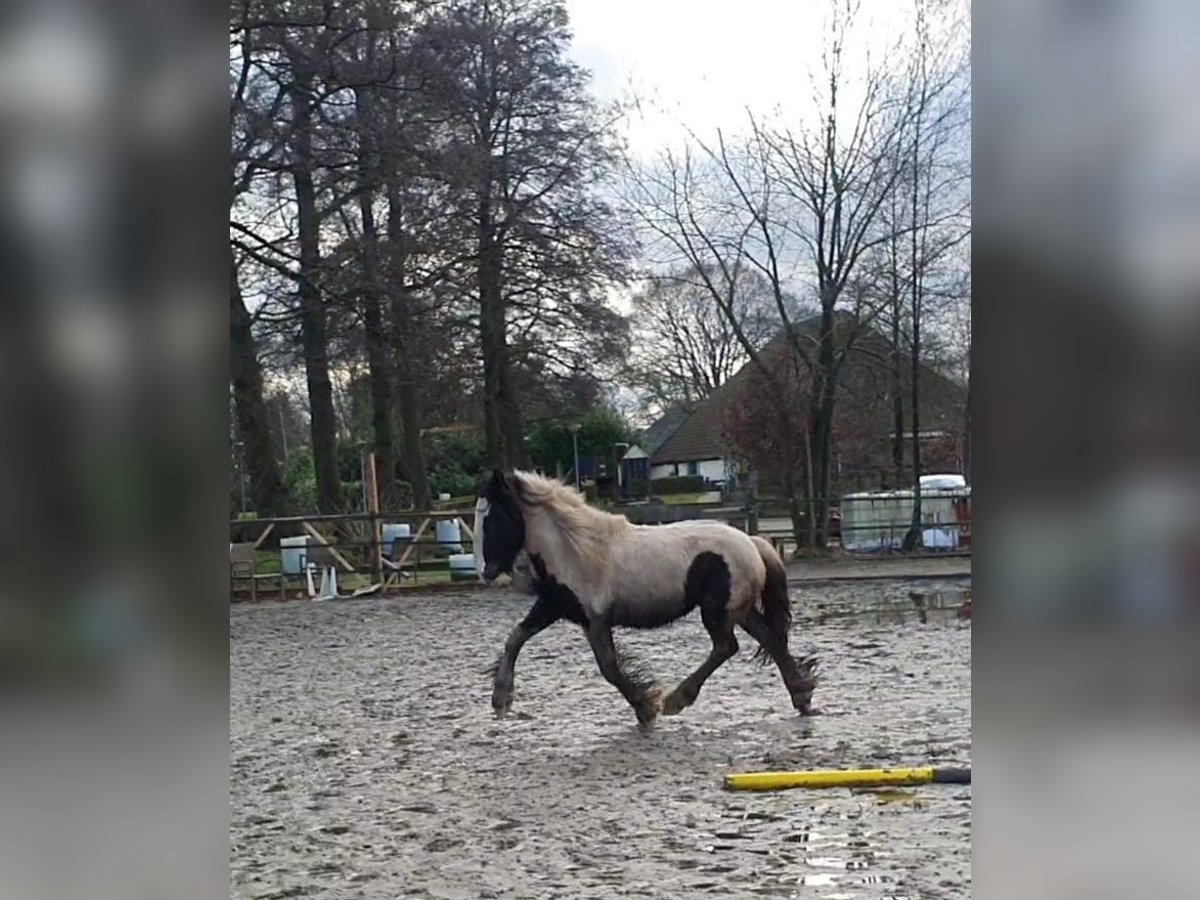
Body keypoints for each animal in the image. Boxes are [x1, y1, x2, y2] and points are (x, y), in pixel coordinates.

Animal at [472, 468, 820, 729]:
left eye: (493, 519)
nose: (485, 572)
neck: (575, 550)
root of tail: (752, 542)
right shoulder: (556, 606)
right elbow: (516, 638)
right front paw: (501, 699)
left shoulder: (594, 620)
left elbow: (609, 668)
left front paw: (646, 707)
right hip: (739, 610)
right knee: (771, 640)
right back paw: (801, 696)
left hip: (717, 611)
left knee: (726, 647)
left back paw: (677, 699)